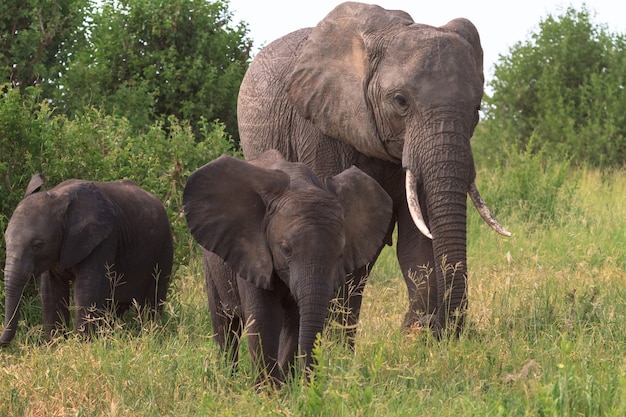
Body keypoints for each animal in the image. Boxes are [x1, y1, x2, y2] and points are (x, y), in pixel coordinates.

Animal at [0, 173, 173, 344]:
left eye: (38, 245)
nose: (3, 342)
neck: (58, 196)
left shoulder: (104, 239)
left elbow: (87, 291)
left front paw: (83, 344)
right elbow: (52, 293)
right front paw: (55, 346)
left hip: (164, 247)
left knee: (154, 298)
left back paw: (150, 334)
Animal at [183, 149, 392, 384]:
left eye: (340, 254)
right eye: (285, 249)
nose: (312, 384)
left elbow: (295, 320)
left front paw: (286, 388)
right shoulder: (253, 251)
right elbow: (264, 319)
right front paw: (268, 391)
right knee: (225, 326)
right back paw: (227, 379)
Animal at [236, 1, 510, 334]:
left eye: (477, 109)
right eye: (401, 101)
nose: (443, 328)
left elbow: (418, 240)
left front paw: (416, 336)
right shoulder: (319, 128)